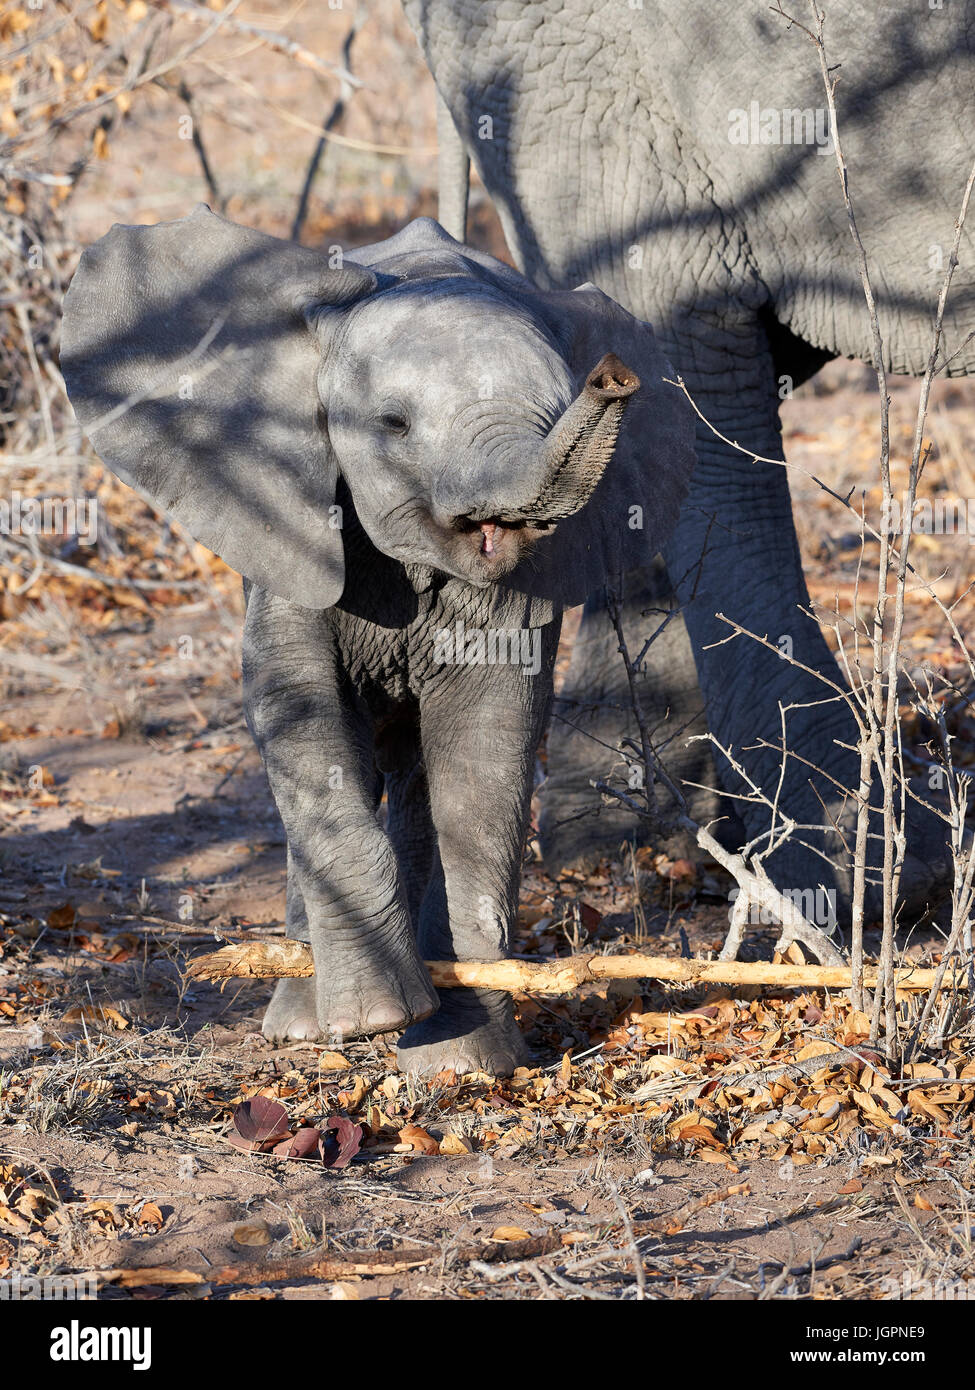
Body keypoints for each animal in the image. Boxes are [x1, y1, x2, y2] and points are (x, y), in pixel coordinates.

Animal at [60, 208, 692, 1073]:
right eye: (392, 425)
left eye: (559, 404)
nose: (614, 379)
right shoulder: (281, 517)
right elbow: (299, 707)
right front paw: (369, 1020)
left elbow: (485, 747)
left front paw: (464, 1063)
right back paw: (304, 1019)